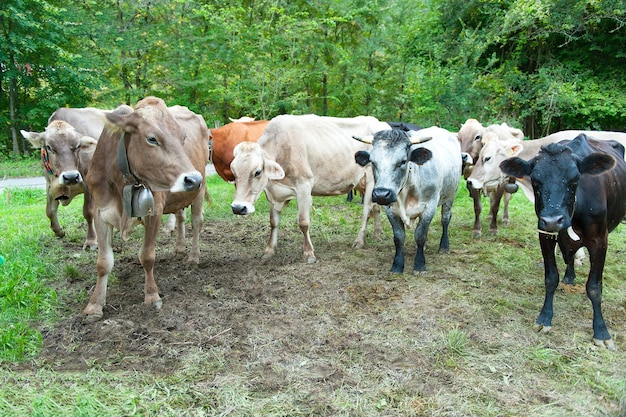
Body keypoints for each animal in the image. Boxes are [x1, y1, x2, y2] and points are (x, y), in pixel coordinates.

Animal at [83, 96, 208, 318]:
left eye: (183, 137)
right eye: (152, 139)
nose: (193, 179)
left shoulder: (154, 211)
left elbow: (147, 256)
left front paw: (152, 296)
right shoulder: (100, 212)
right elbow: (103, 262)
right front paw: (95, 305)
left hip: (198, 193)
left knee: (196, 222)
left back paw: (193, 257)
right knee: (181, 217)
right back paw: (179, 247)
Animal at [228, 113, 386, 264]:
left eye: (257, 172)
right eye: (234, 172)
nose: (238, 208)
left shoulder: (304, 186)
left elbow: (303, 222)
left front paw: (309, 253)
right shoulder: (273, 194)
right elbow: (273, 222)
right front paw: (269, 250)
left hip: (371, 179)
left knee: (367, 210)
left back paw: (359, 241)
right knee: (376, 207)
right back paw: (378, 235)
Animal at [354, 127, 460, 272]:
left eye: (403, 161)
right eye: (373, 162)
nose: (381, 194)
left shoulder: (430, 206)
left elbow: (420, 235)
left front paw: (420, 265)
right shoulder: (390, 209)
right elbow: (399, 237)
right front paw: (397, 265)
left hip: (450, 195)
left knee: (445, 218)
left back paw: (444, 247)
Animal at [498, 134, 624, 348]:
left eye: (575, 180)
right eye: (536, 181)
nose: (552, 219)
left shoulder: (600, 239)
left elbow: (594, 287)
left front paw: (601, 331)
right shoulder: (545, 234)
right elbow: (551, 278)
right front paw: (545, 318)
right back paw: (570, 276)